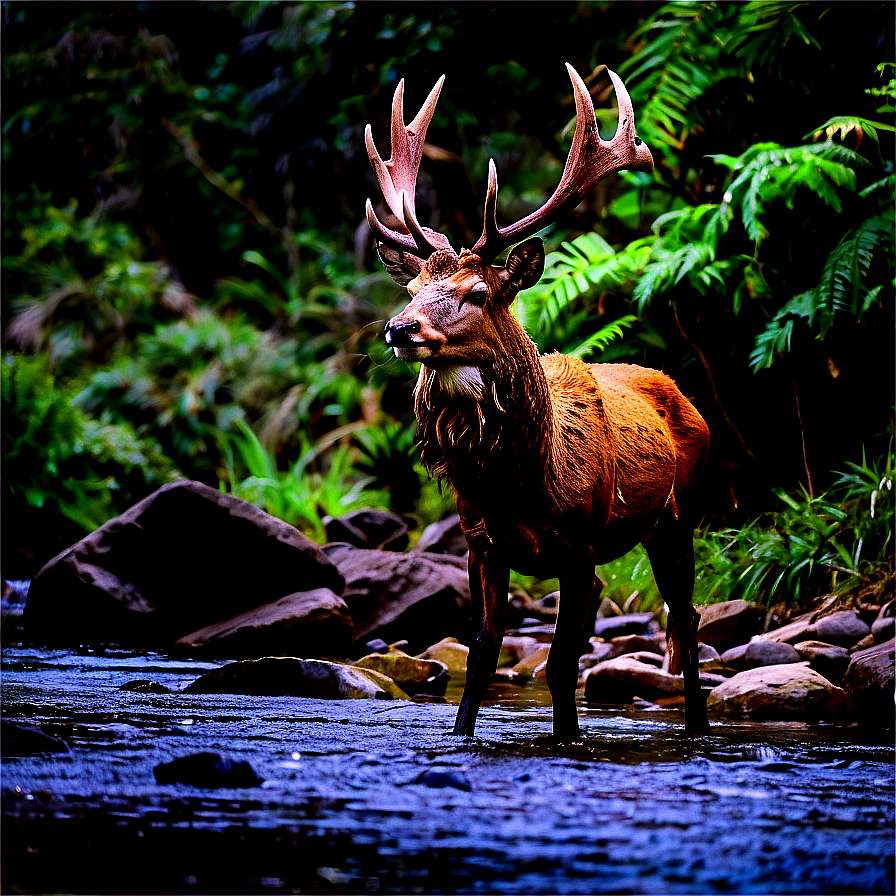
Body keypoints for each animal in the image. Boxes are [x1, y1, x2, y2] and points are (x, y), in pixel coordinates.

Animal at [364, 64, 711, 739]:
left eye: (476, 292)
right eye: (414, 286)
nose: (399, 327)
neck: (519, 486)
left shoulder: (580, 547)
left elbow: (558, 665)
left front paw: (568, 737)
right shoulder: (482, 545)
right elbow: (482, 653)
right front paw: (462, 732)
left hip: (678, 516)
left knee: (684, 619)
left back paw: (697, 728)